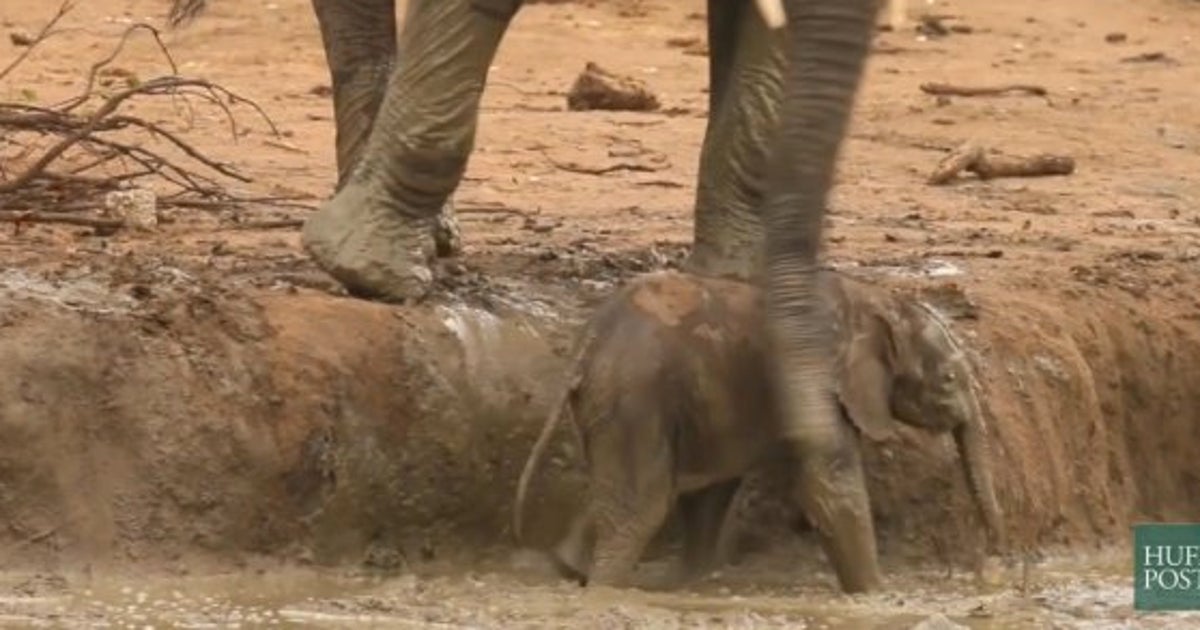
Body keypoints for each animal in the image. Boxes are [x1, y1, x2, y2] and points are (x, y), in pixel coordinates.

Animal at [513, 270, 1006, 586]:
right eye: (949, 380)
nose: (991, 563)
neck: (873, 301)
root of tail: (589, 340)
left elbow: (715, 488)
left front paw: (689, 581)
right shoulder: (815, 381)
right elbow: (829, 489)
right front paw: (874, 595)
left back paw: (570, 569)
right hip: (635, 396)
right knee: (642, 504)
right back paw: (603, 585)